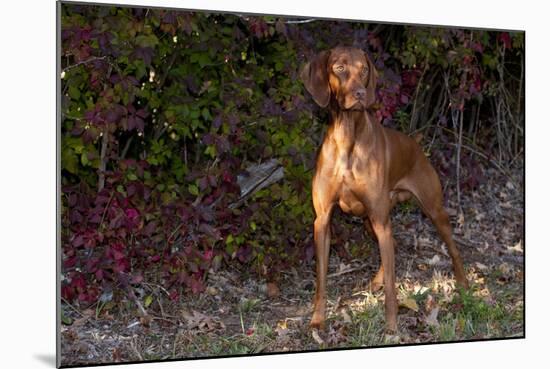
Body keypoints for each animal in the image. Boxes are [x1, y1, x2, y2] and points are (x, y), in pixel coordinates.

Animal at [302, 46, 470, 330]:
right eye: (339, 68)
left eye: (364, 70)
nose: (360, 93)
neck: (348, 136)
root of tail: (415, 144)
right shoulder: (323, 220)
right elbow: (321, 278)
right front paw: (317, 320)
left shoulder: (381, 218)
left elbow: (393, 287)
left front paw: (392, 327)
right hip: (372, 221)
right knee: (395, 246)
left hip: (430, 209)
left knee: (452, 247)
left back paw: (463, 283)